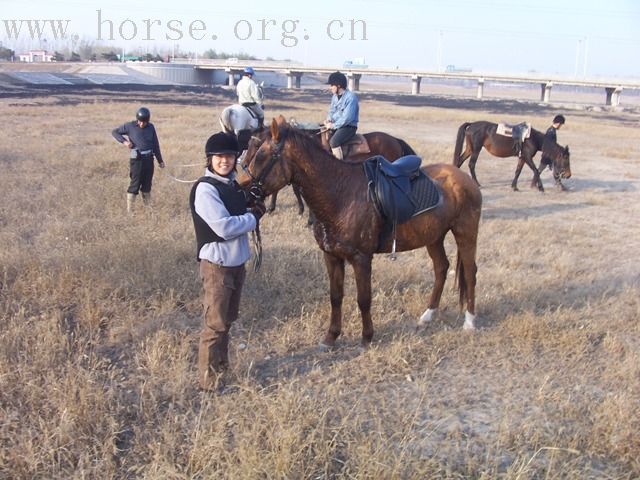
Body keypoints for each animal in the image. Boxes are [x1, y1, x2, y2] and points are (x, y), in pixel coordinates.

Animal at [238, 117, 482, 348]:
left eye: (262, 154)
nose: (242, 190)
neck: (340, 194)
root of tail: (464, 178)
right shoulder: (331, 256)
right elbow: (335, 296)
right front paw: (331, 336)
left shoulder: (361, 258)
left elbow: (364, 299)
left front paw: (367, 337)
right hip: (434, 237)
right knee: (441, 268)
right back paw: (427, 316)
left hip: (466, 234)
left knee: (470, 272)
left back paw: (470, 322)